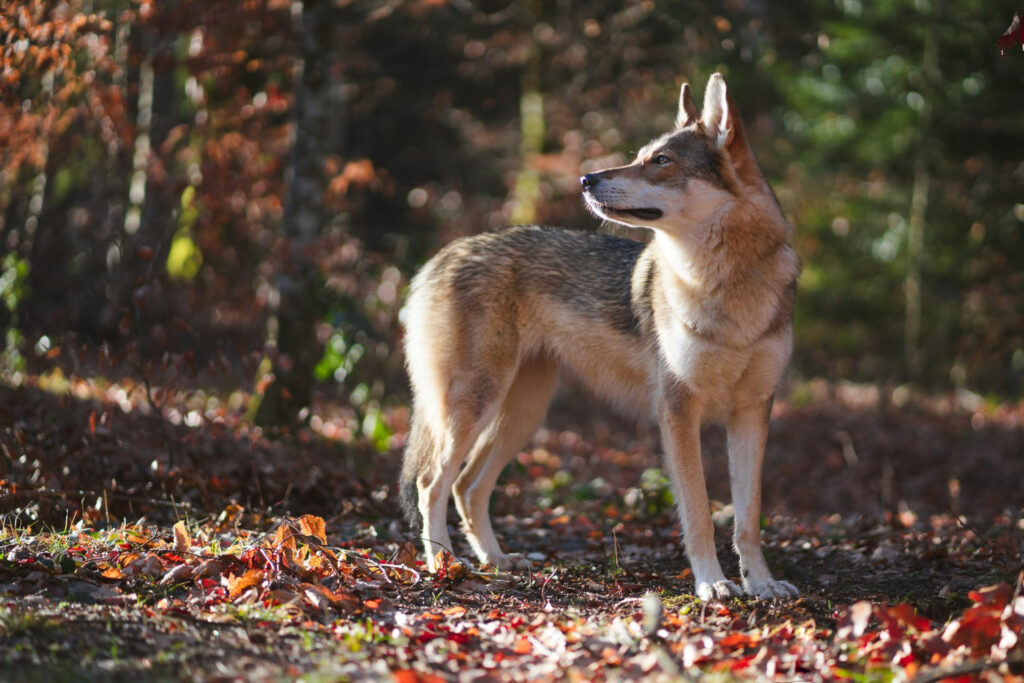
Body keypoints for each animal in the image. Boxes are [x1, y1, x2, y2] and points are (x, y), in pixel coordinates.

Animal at [397, 72, 798, 602]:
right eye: (640, 155)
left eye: (660, 161)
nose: (586, 179)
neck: (727, 286)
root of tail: (442, 256)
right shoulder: (677, 411)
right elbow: (698, 513)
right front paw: (712, 583)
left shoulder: (753, 412)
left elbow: (748, 518)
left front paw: (762, 584)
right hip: (473, 409)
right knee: (431, 482)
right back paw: (444, 564)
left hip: (522, 415)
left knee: (468, 487)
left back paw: (497, 560)